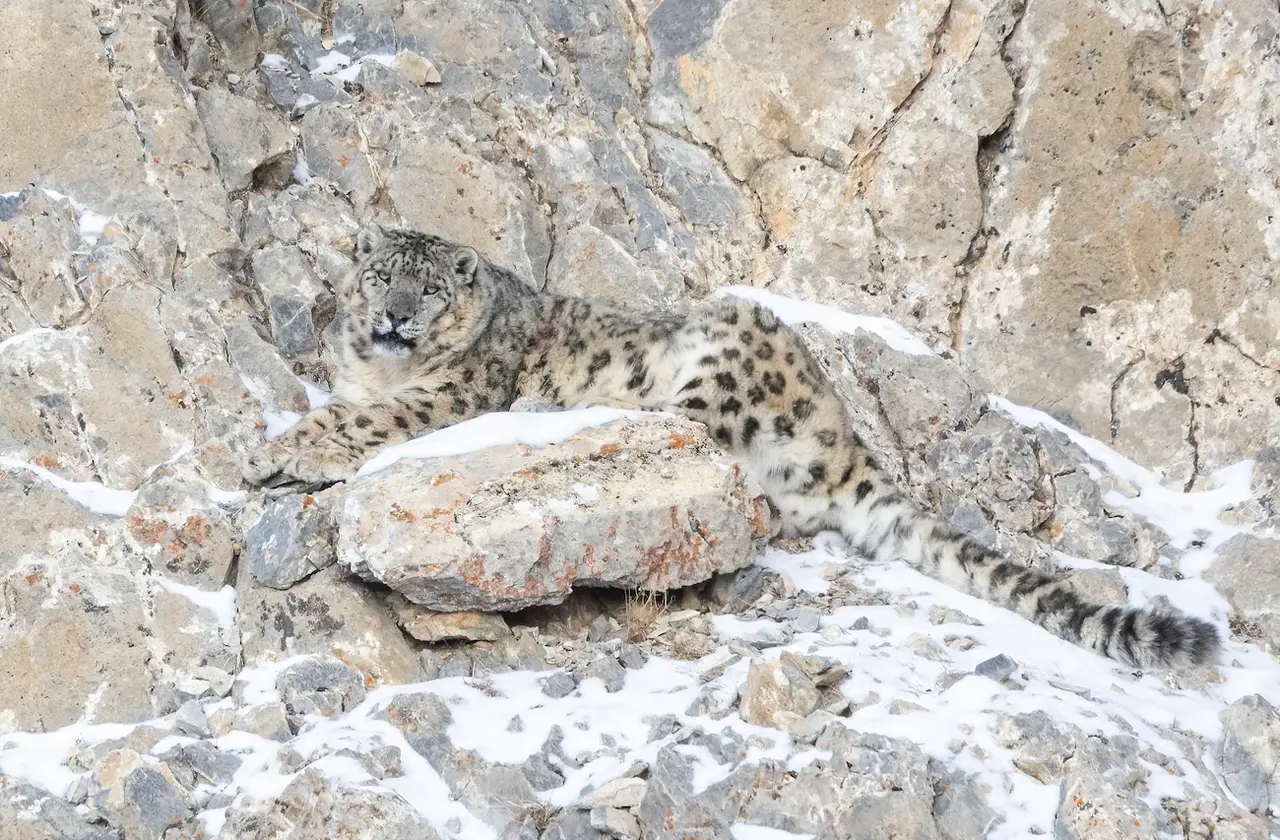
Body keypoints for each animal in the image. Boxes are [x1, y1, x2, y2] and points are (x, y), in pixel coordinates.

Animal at [244, 225, 1220, 671]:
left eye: (429, 286)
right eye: (381, 274)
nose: (394, 313)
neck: (379, 367)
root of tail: (843, 436)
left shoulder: (448, 395)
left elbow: (360, 425)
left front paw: (272, 452)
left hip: (721, 356)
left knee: (697, 442)